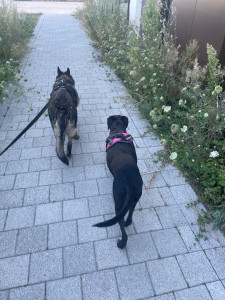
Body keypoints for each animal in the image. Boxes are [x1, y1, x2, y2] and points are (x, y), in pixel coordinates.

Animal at [93, 115, 142, 248]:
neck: (118, 130)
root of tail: (130, 184)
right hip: (135, 199)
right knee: (129, 216)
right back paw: (127, 223)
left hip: (118, 201)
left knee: (121, 225)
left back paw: (121, 243)